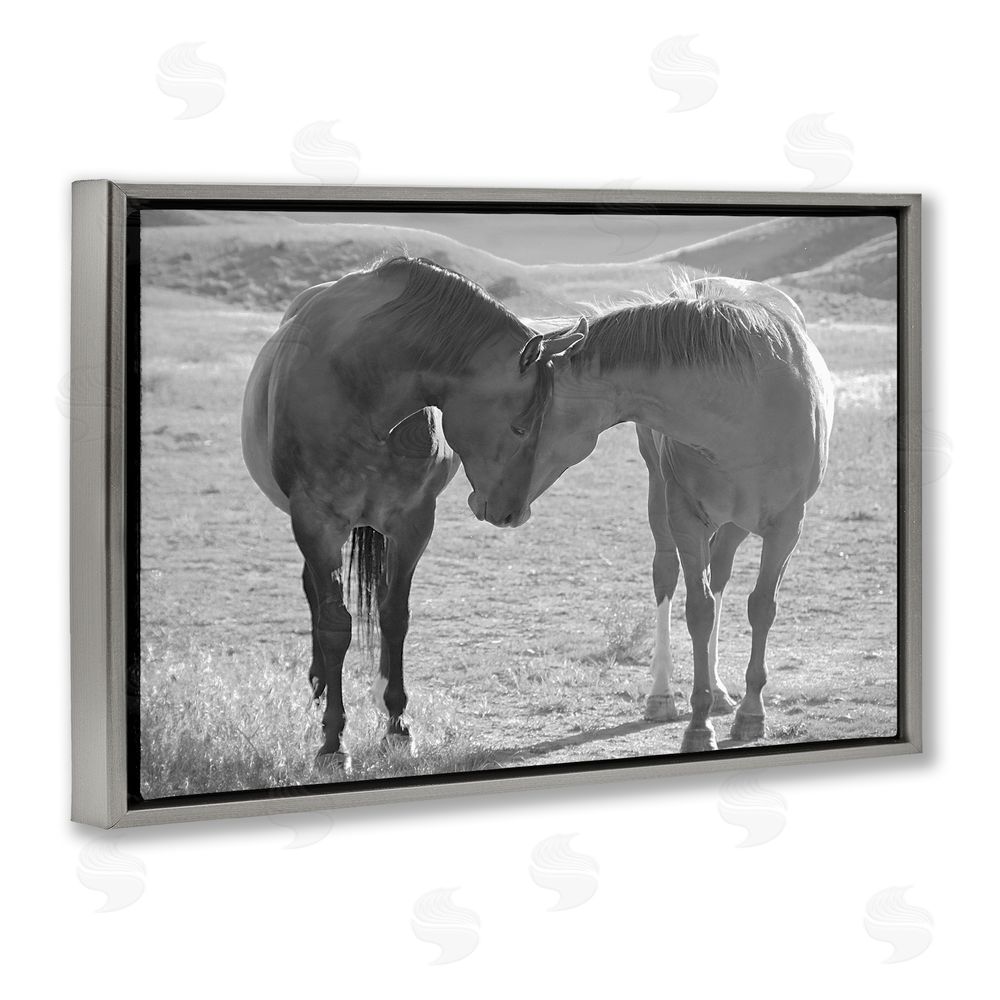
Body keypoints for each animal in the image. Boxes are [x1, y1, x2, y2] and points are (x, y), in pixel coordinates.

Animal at [241, 255, 586, 771]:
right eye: (520, 426)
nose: (512, 513)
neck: (361, 384)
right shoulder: (315, 523)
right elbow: (335, 625)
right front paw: (333, 742)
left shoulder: (413, 522)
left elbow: (395, 615)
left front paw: (397, 725)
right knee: (314, 597)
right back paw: (319, 686)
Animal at [491, 276, 835, 752]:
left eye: (519, 426)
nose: (491, 505)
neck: (746, 406)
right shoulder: (685, 518)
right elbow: (698, 611)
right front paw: (698, 725)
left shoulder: (786, 526)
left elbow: (761, 607)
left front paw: (751, 713)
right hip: (662, 499)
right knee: (666, 576)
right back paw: (661, 695)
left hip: (734, 523)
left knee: (721, 575)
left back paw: (722, 691)